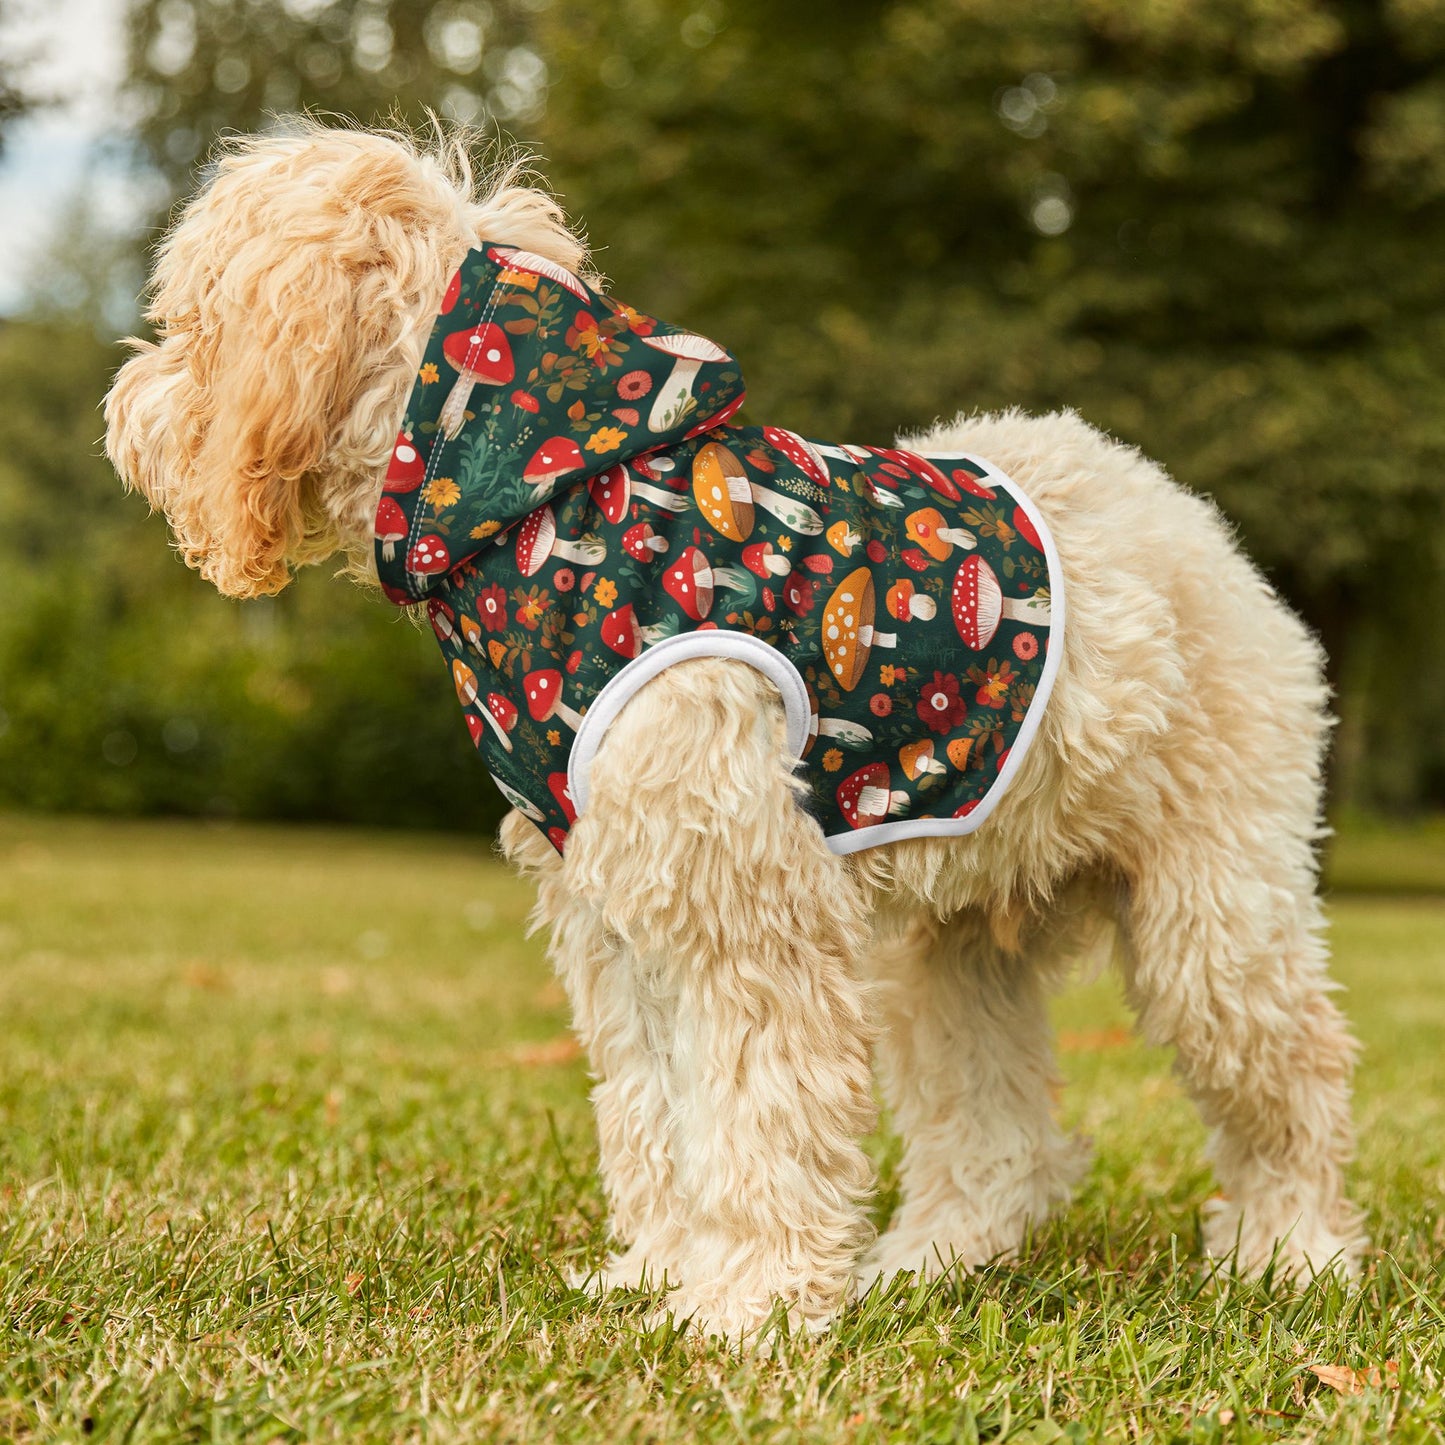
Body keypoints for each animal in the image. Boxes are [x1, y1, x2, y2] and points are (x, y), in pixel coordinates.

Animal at [106, 124, 1358, 1340]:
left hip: (1213, 917)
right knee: (998, 1136)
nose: (122, 410)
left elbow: (758, 1113)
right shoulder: (617, 913)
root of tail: (1185, 516)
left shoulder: (744, 906)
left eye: (190, 323)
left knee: (1294, 1076)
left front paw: (746, 1303)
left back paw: (1291, 1253)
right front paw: (661, 1272)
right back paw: (930, 1261)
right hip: (950, 948)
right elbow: (656, 1111)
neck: (542, 499)